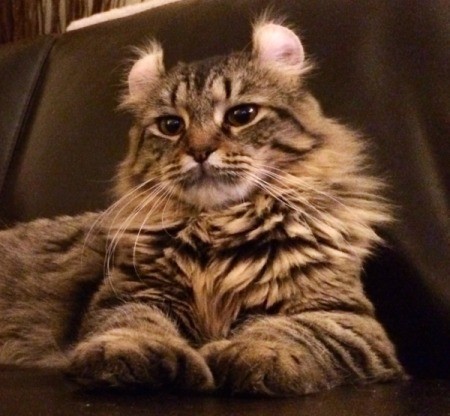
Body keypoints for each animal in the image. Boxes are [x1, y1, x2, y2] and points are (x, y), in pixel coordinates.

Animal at [0, 20, 406, 396]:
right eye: (170, 125)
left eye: (242, 115)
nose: (199, 151)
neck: (218, 224)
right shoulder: (131, 295)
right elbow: (134, 324)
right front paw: (134, 353)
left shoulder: (342, 315)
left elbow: (289, 331)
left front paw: (252, 352)